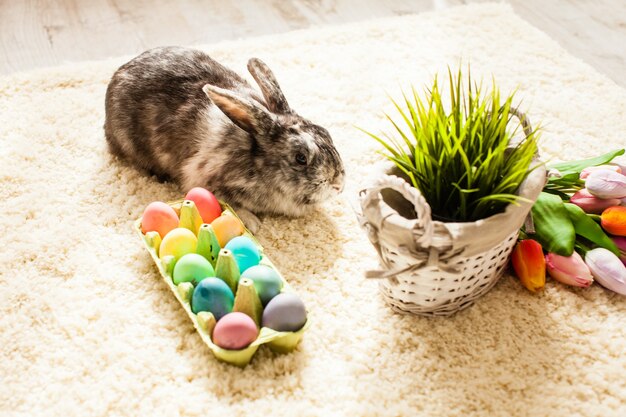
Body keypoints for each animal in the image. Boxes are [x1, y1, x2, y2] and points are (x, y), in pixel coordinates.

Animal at [104, 47, 344, 228]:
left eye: (326, 133)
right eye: (300, 158)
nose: (338, 185)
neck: (257, 162)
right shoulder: (204, 180)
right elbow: (230, 203)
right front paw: (252, 222)